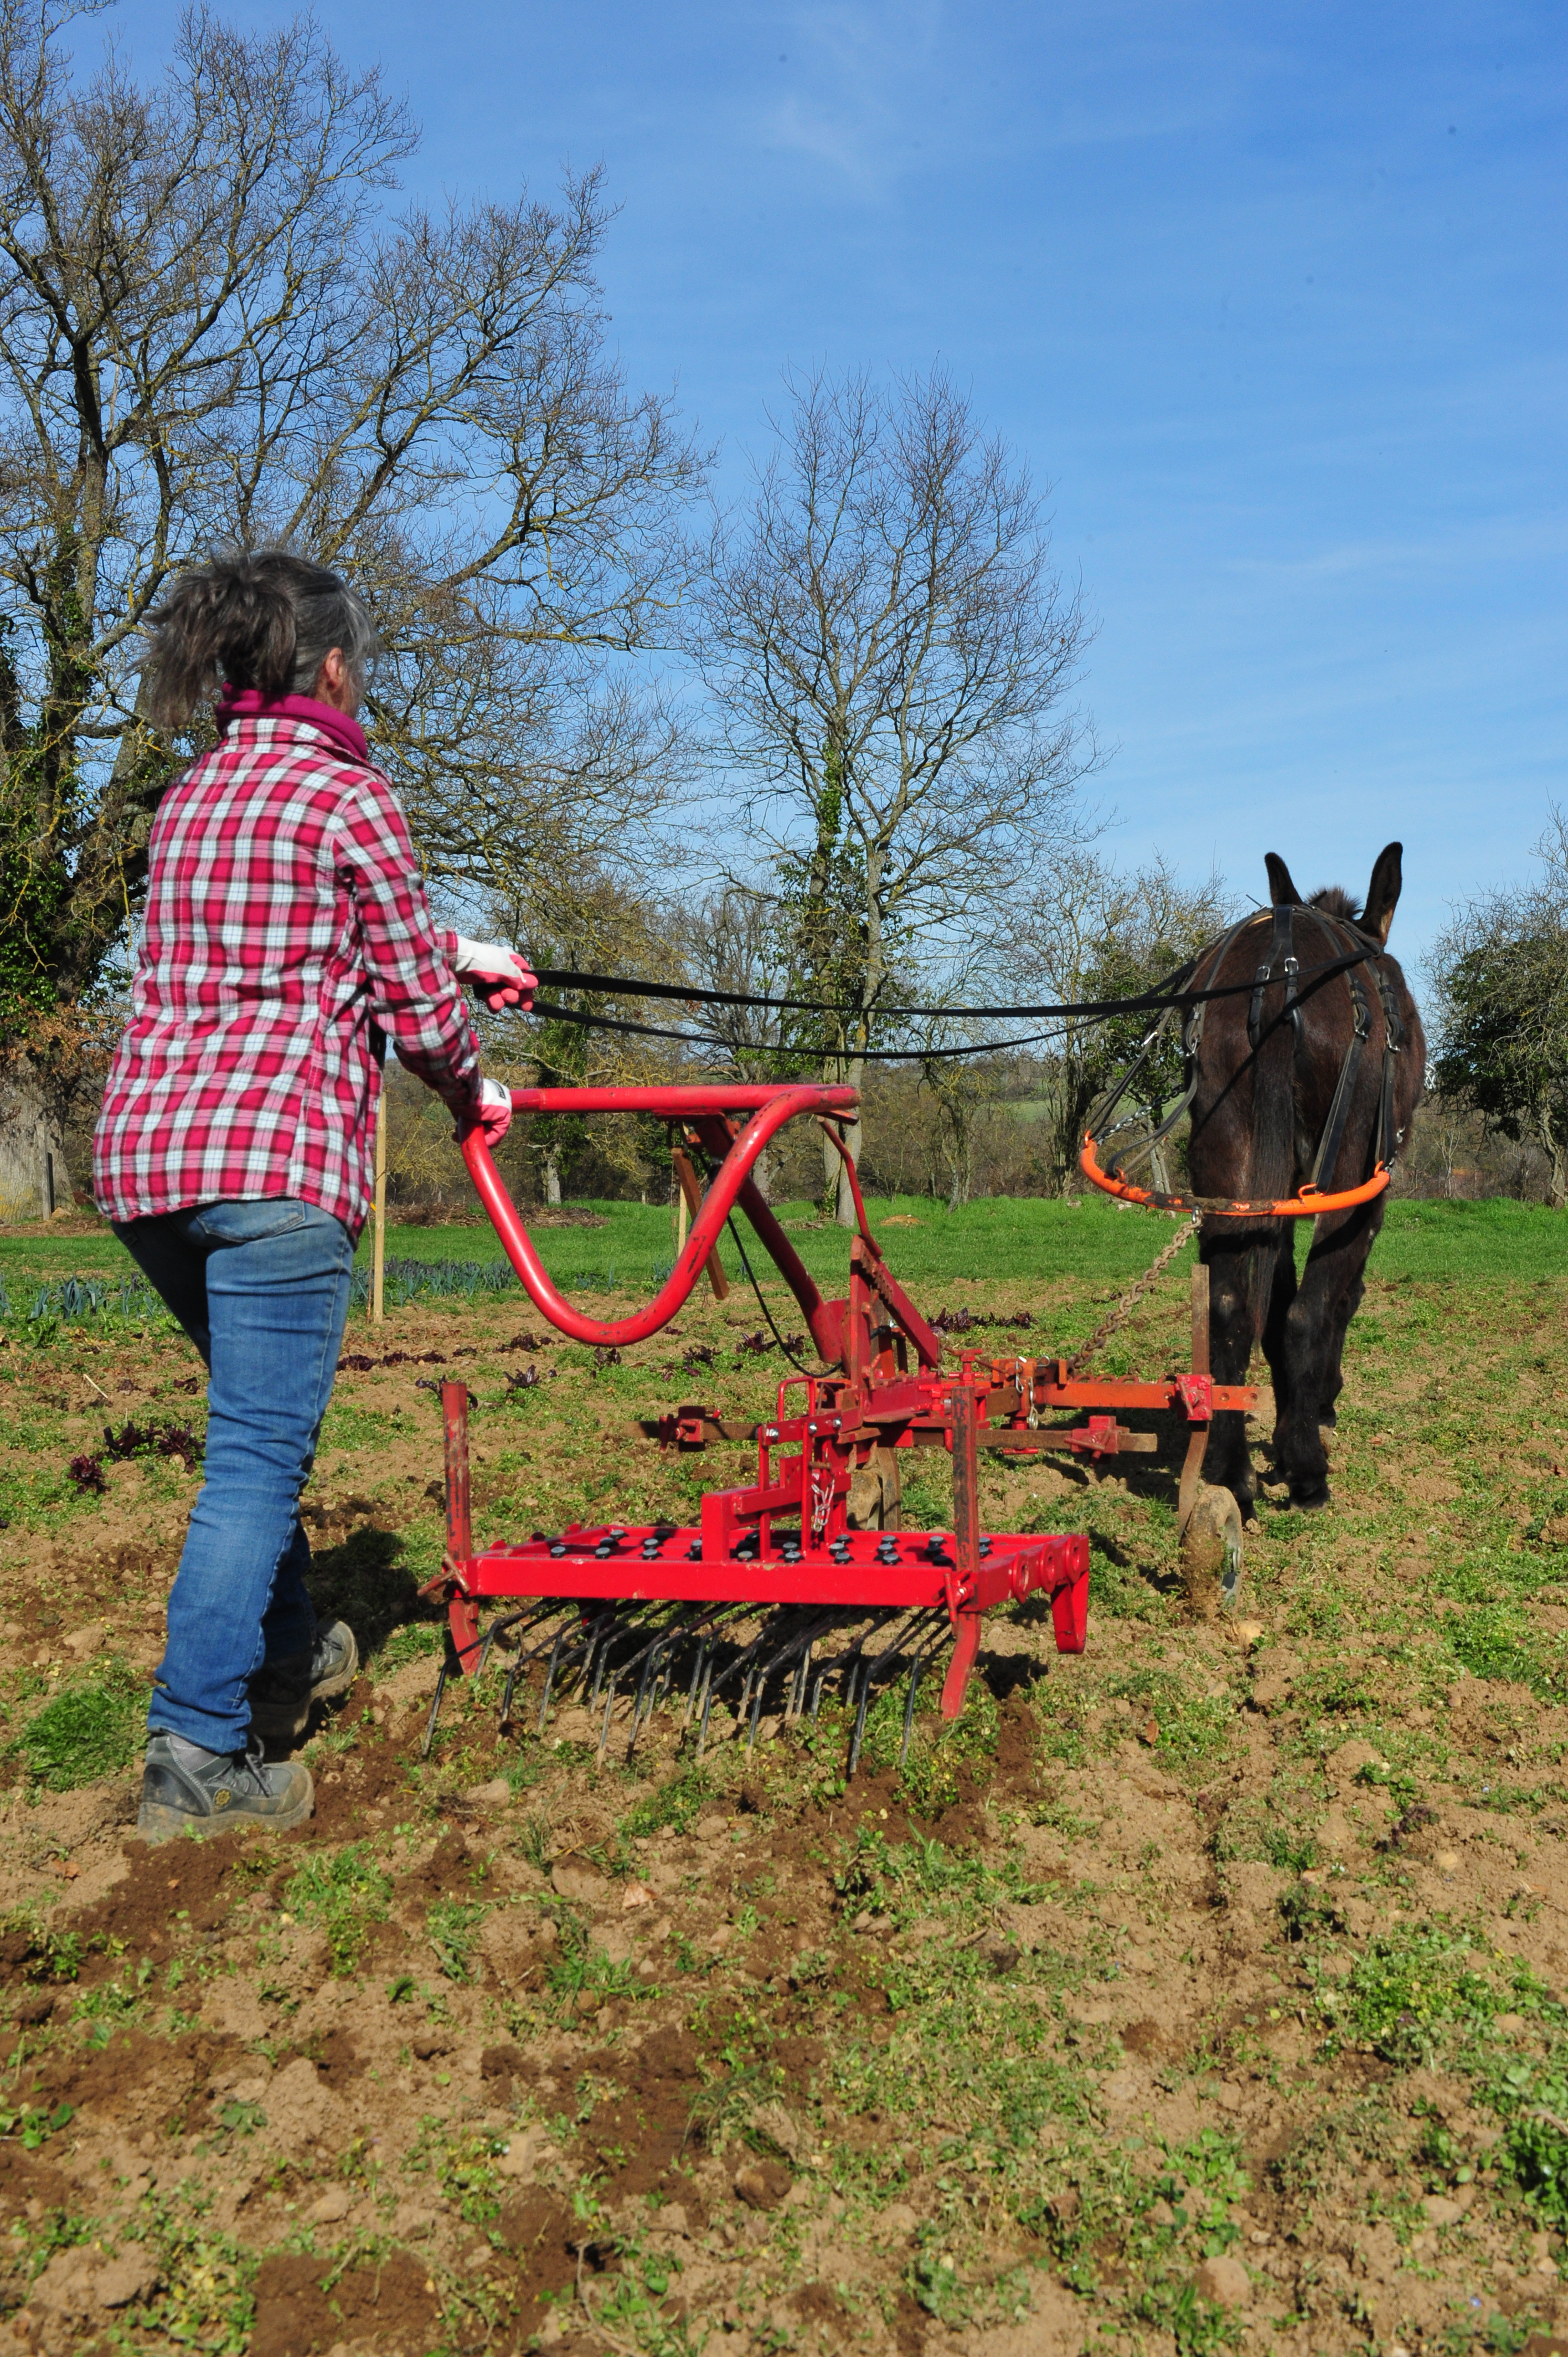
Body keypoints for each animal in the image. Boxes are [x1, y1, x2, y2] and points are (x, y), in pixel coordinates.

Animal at [1188, 843, 1415, 1508]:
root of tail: (1276, 979)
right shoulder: (1370, 1187)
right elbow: (1339, 1296)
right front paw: (1315, 1411)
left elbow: (1271, 1294)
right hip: (1349, 1168)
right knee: (1309, 1310)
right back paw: (1309, 1466)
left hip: (1229, 1161)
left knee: (1233, 1308)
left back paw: (1231, 1469)